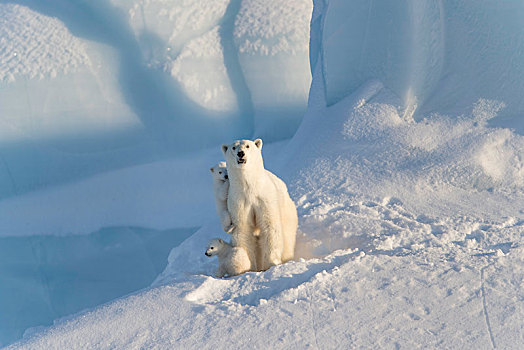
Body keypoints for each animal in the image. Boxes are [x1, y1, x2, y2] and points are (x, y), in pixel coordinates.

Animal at [219, 139, 296, 270]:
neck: (250, 188)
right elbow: (243, 230)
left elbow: (270, 226)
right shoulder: (239, 201)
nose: (241, 153)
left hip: (288, 212)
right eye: (233, 147)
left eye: (247, 146)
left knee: (287, 237)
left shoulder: (264, 198)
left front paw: (271, 263)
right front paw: (249, 266)